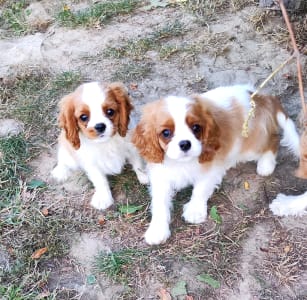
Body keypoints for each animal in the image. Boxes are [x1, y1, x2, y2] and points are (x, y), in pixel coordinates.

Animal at [51, 81, 149, 210]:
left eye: (110, 111)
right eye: (83, 117)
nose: (99, 126)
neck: (106, 143)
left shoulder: (132, 148)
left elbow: (138, 165)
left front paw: (145, 176)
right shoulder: (91, 163)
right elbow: (100, 180)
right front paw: (104, 198)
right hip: (68, 154)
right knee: (63, 159)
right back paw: (60, 172)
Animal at [132, 84, 300, 244]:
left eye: (196, 128)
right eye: (166, 133)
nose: (185, 144)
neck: (181, 163)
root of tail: (261, 97)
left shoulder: (210, 169)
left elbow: (200, 190)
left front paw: (195, 210)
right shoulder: (161, 176)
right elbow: (159, 203)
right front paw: (157, 230)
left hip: (251, 144)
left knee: (273, 140)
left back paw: (266, 165)